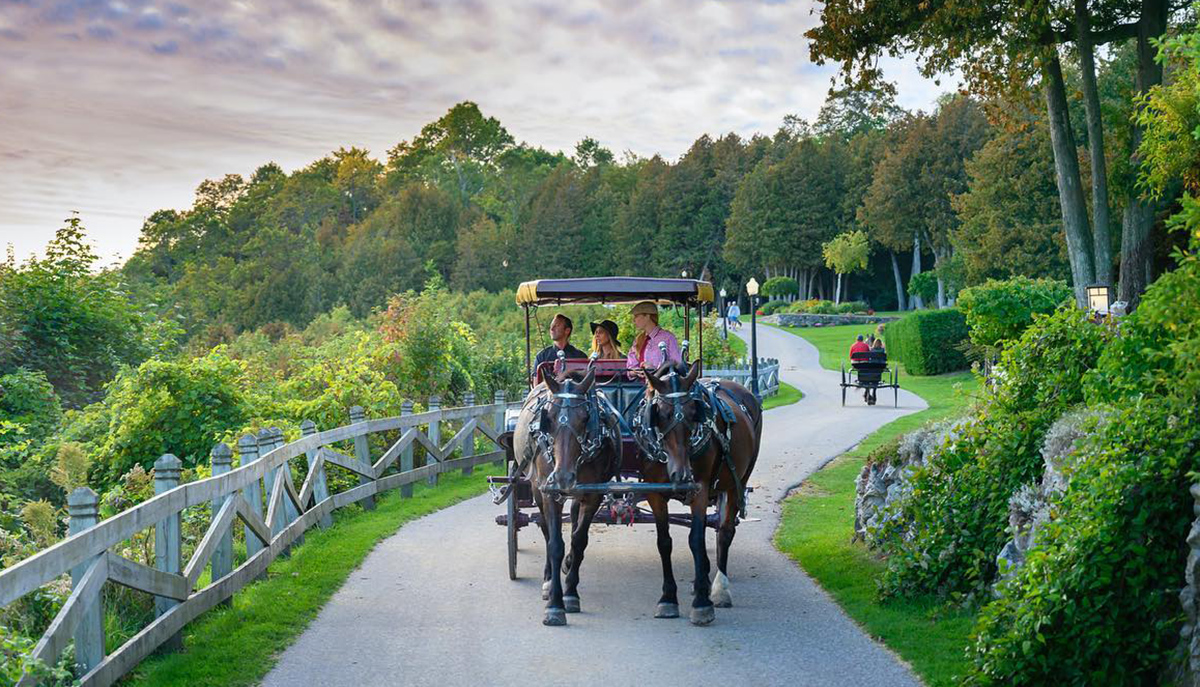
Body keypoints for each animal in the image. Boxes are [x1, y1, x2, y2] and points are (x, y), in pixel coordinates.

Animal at [504, 367, 619, 624]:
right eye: (548, 417)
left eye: (586, 418)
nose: (563, 477)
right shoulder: (549, 493)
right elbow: (555, 543)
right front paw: (555, 605)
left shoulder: (592, 495)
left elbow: (579, 541)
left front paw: (571, 593)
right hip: (537, 489)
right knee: (545, 529)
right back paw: (548, 579)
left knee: (573, 519)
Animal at [638, 362, 758, 624]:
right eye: (660, 414)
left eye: (695, 412)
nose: (681, 474)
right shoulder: (654, 492)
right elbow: (664, 542)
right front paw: (668, 599)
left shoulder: (701, 489)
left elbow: (696, 540)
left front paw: (702, 603)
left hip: (737, 482)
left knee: (724, 531)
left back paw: (719, 589)